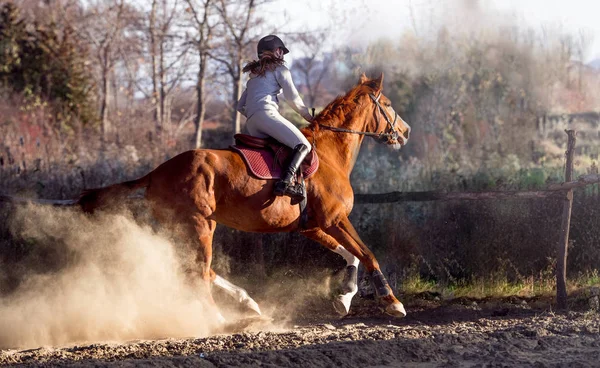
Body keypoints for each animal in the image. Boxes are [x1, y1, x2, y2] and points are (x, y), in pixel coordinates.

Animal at [76, 73, 412, 320]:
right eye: (388, 103)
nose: (406, 132)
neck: (330, 153)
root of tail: (157, 172)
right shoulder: (335, 220)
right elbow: (367, 254)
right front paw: (391, 302)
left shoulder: (314, 227)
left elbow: (351, 256)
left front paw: (344, 300)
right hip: (198, 226)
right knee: (198, 272)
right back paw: (217, 320)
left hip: (187, 228)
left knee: (201, 269)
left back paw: (247, 302)